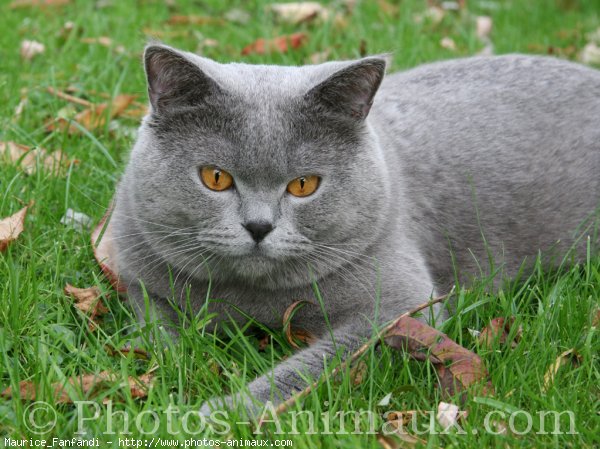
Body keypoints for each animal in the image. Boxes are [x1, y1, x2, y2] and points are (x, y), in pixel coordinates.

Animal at [111, 45, 600, 416]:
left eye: (303, 185)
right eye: (215, 178)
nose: (258, 225)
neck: (252, 299)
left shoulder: (401, 308)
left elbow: (310, 367)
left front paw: (220, 413)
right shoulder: (137, 274)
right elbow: (159, 332)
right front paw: (172, 373)